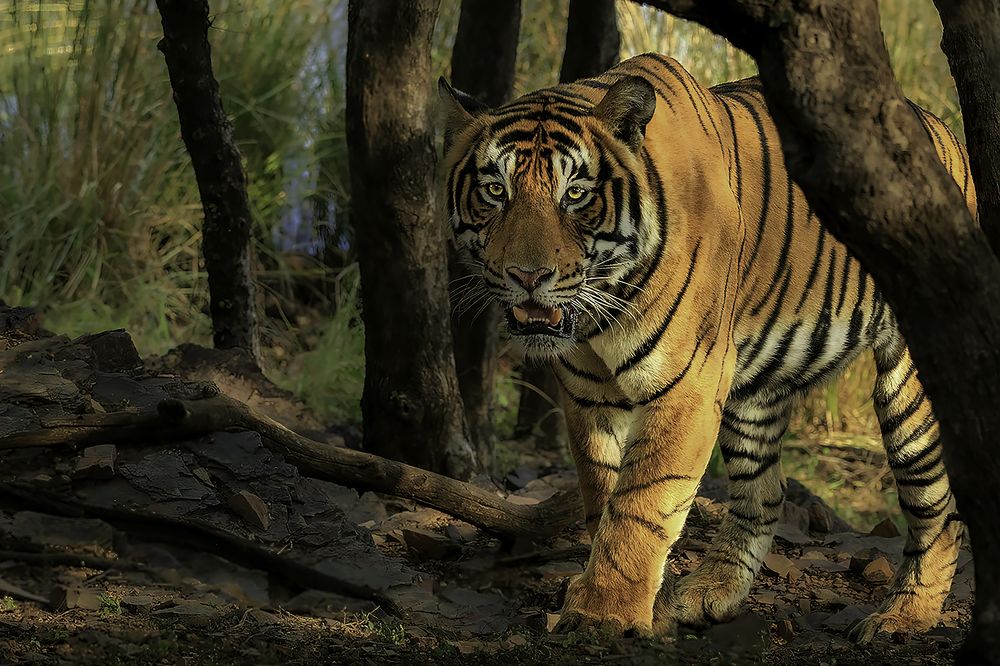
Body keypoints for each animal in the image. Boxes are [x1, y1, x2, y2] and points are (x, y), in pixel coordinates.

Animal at [439, 53, 974, 643]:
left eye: (575, 194)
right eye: (495, 190)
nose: (528, 275)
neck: (601, 308)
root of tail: (939, 126)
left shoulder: (688, 384)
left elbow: (643, 499)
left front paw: (604, 611)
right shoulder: (587, 393)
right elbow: (603, 491)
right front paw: (631, 599)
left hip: (910, 392)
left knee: (938, 508)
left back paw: (904, 616)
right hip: (754, 394)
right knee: (766, 492)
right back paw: (708, 593)